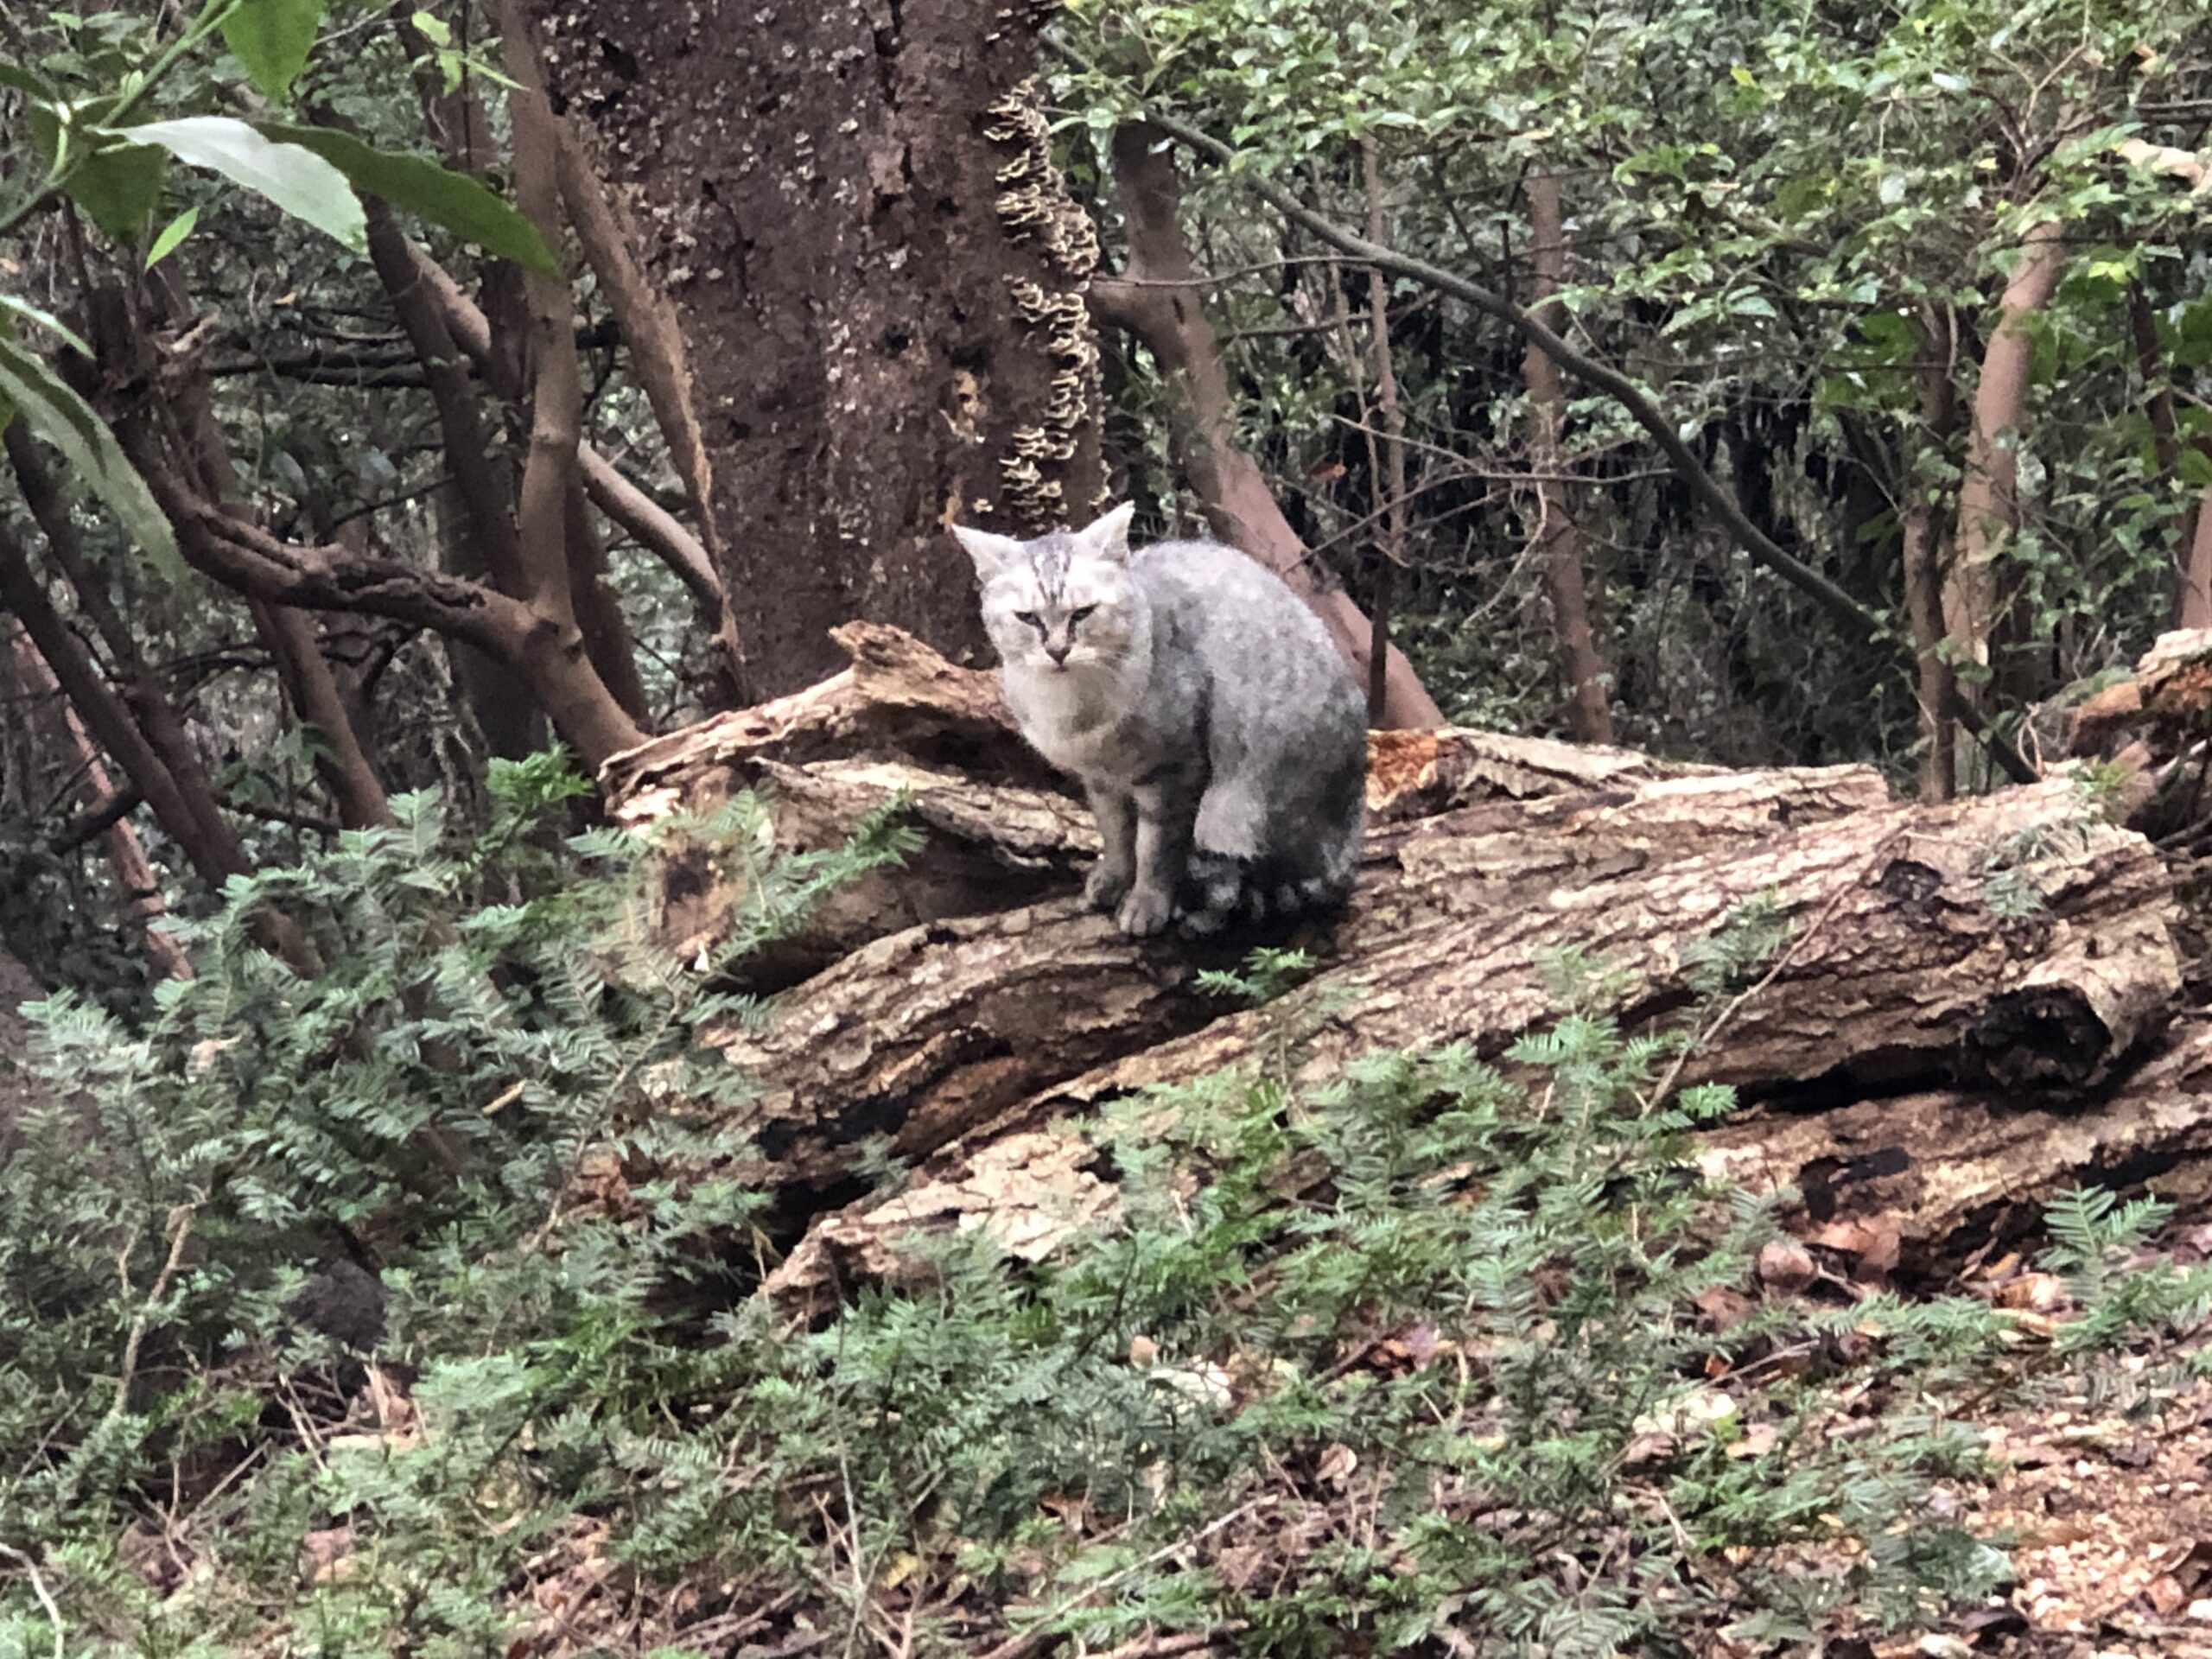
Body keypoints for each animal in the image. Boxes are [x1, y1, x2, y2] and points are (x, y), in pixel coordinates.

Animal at [950, 499, 1362, 938]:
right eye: (1028, 618)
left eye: (1082, 614)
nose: (1058, 651)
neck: (1075, 713)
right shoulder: (1101, 782)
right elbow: (1116, 835)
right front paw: (1113, 878)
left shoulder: (1173, 775)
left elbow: (1155, 849)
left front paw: (1147, 901)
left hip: (1240, 805)